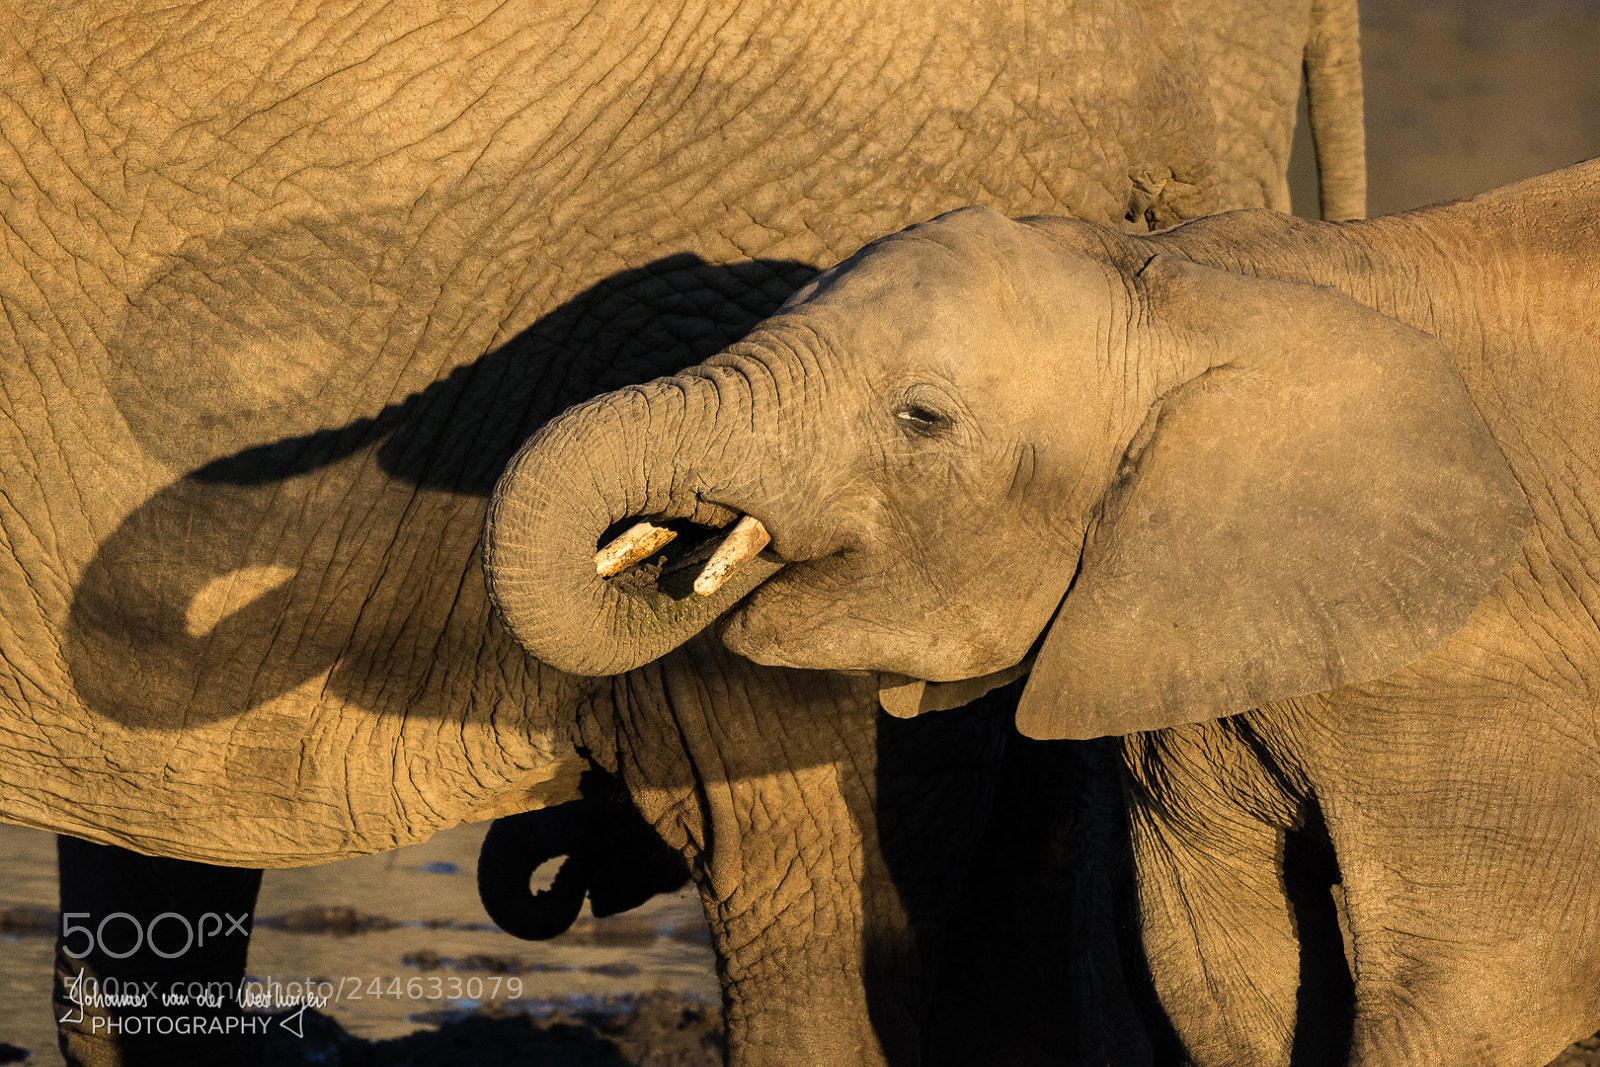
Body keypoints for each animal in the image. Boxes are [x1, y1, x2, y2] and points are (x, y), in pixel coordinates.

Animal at [482, 157, 1600, 1067]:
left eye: (921, 418)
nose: (564, 842)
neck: (1196, 288)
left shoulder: (1492, 675)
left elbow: (1470, 1000)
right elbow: (1225, 982)